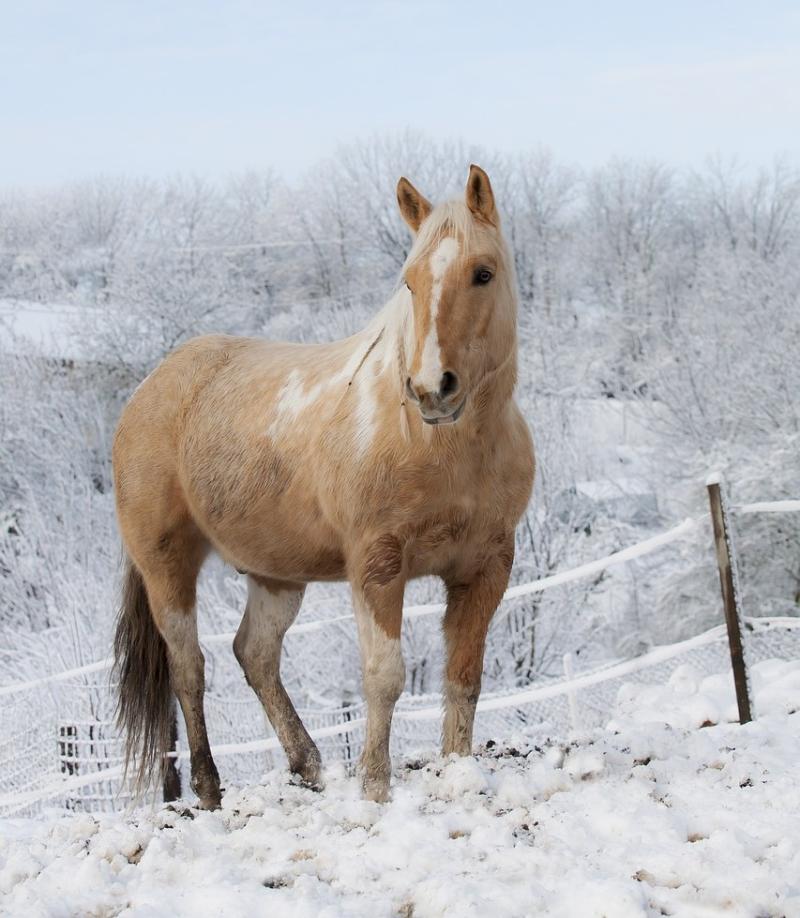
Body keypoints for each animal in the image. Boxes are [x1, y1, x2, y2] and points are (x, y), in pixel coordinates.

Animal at [112, 164, 535, 808]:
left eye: (482, 273)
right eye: (409, 283)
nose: (431, 389)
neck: (437, 446)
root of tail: (148, 390)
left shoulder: (486, 567)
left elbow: (463, 677)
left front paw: (458, 773)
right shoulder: (377, 567)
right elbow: (384, 678)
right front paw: (375, 790)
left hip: (277, 576)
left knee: (255, 654)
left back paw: (307, 765)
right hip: (167, 567)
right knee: (190, 668)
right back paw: (210, 790)